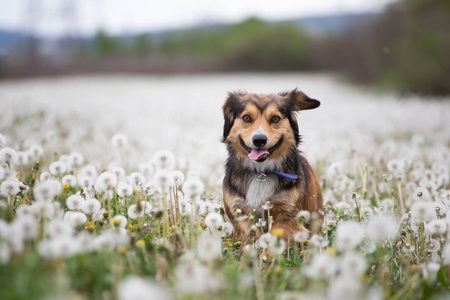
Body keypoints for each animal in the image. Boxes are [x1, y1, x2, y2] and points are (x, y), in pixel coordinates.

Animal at [221, 89, 324, 246]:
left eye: (275, 118)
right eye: (246, 118)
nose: (259, 140)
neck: (260, 172)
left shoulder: (287, 213)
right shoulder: (239, 210)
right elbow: (252, 233)